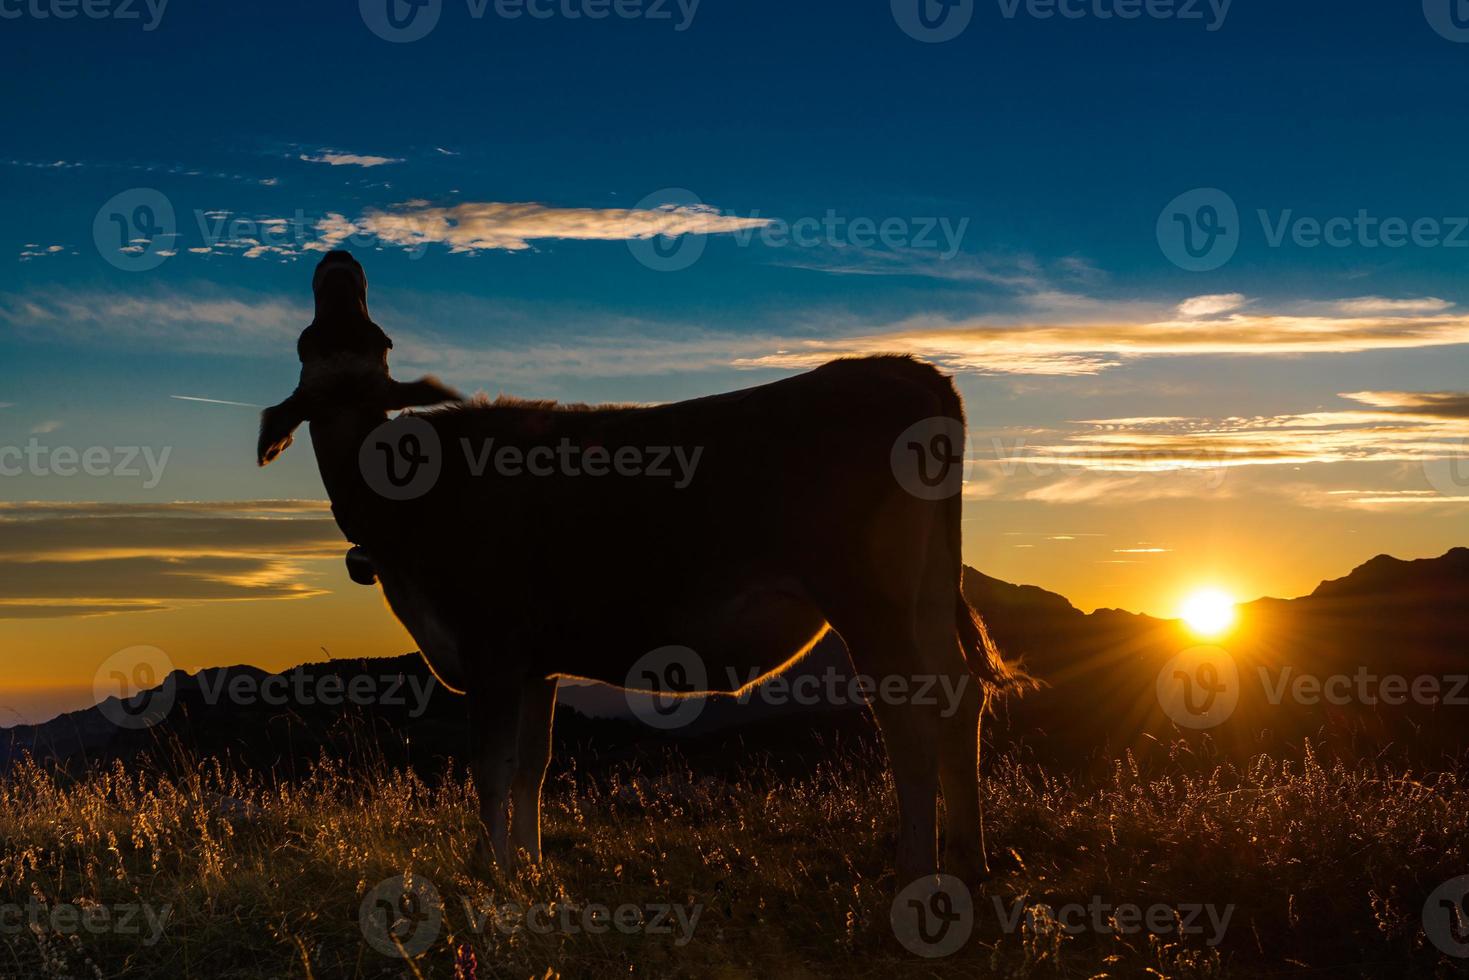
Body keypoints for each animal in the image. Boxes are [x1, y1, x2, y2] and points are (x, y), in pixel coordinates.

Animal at [258, 251, 1022, 887]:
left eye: (379, 340)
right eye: (309, 341)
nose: (339, 260)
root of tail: (906, 369)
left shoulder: (490, 645)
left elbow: (490, 768)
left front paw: (489, 873)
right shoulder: (536, 660)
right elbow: (533, 766)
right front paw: (529, 869)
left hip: (866, 596)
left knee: (910, 716)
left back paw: (915, 870)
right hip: (928, 588)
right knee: (957, 697)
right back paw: (970, 861)